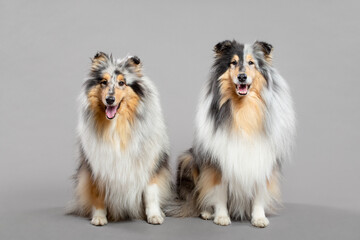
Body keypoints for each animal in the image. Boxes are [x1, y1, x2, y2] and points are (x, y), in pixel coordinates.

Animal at [68, 52, 172, 225]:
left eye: (122, 83)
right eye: (103, 82)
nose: (110, 100)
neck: (116, 126)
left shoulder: (148, 162)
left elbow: (150, 193)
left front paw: (154, 216)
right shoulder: (98, 167)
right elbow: (98, 194)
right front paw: (99, 217)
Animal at [174, 40, 296, 228]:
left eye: (251, 63)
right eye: (233, 63)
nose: (242, 77)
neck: (243, 108)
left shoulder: (262, 158)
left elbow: (259, 192)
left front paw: (259, 218)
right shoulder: (219, 160)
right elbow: (219, 191)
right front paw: (221, 216)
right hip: (189, 159)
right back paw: (207, 212)